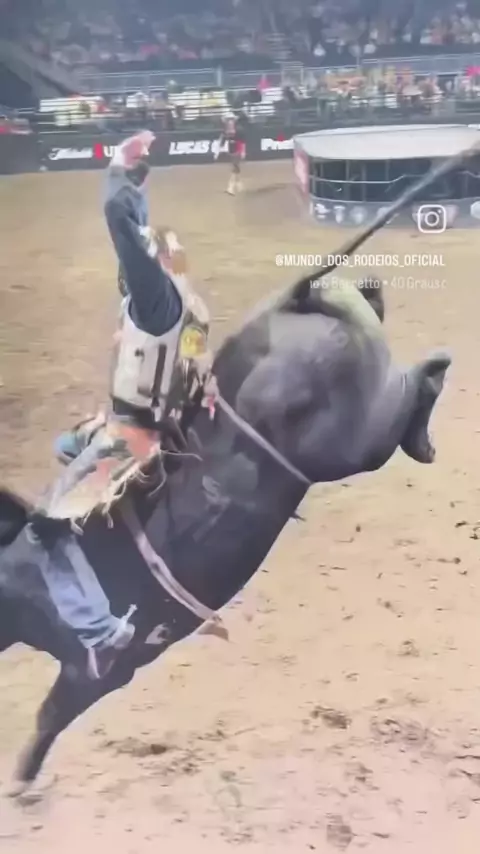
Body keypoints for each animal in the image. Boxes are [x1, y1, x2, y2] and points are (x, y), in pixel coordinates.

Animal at [0, 272, 450, 794]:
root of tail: (295, 298)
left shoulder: (97, 670)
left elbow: (51, 714)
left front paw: (20, 780)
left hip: (358, 435)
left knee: (411, 389)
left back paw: (429, 406)